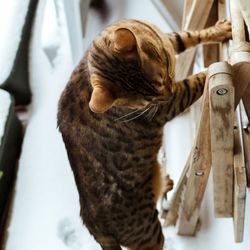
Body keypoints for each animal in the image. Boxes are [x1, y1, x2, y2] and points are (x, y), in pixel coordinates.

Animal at [57, 18, 231, 249]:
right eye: (149, 99)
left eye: (165, 72)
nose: (168, 92)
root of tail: (93, 224)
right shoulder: (168, 106)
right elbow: (193, 82)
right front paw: (216, 66)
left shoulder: (165, 38)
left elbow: (189, 36)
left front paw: (220, 30)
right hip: (148, 233)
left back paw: (165, 183)